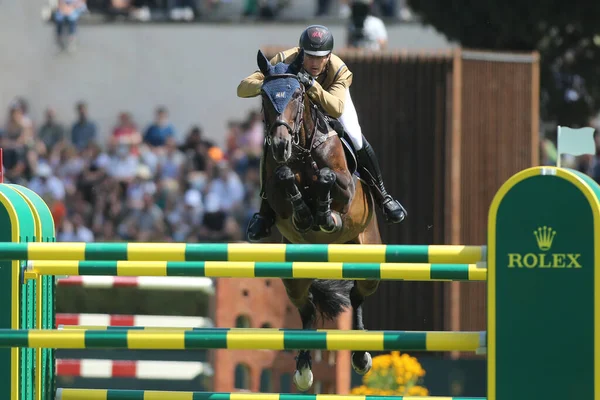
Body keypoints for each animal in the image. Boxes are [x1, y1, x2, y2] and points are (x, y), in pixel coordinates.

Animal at [255, 49, 382, 390]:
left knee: (357, 295)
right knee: (307, 309)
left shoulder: (346, 189)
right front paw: (303, 214)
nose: (280, 145)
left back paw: (361, 355)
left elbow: (327, 176)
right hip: (294, 278)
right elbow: (284, 178)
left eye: (298, 95)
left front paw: (324, 216)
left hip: (369, 262)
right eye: (264, 96)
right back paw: (302, 366)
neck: (302, 149)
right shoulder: (276, 193)